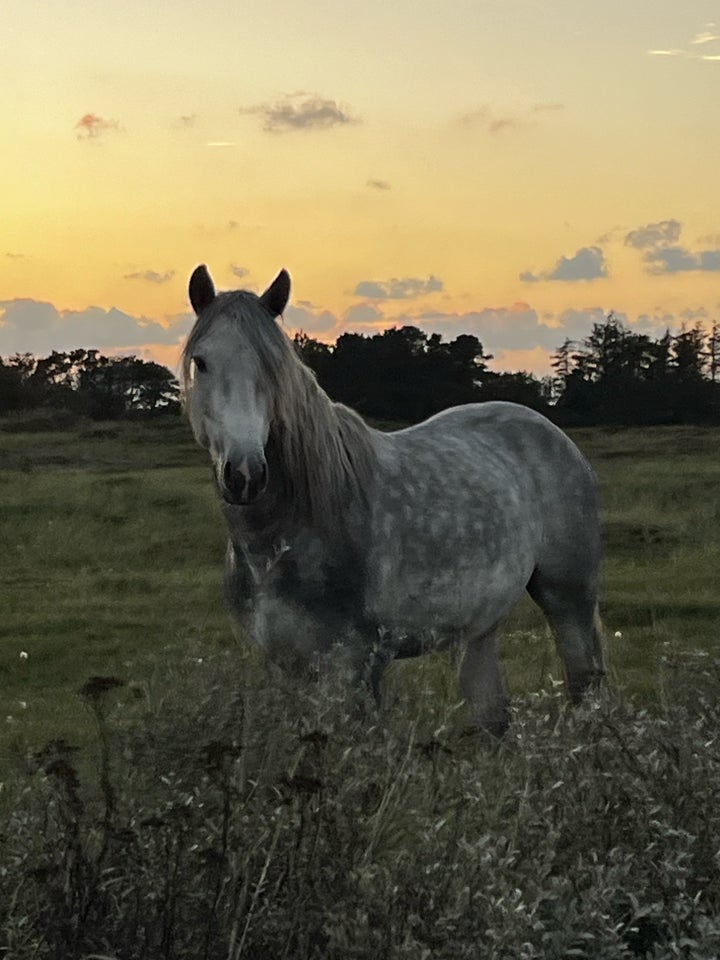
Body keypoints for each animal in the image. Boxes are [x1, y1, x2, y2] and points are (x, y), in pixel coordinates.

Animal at [180, 262, 600, 736]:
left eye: (274, 368)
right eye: (202, 362)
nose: (245, 474)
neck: (280, 541)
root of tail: (550, 432)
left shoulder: (354, 664)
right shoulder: (281, 664)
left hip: (567, 598)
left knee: (584, 682)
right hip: (478, 631)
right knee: (493, 716)